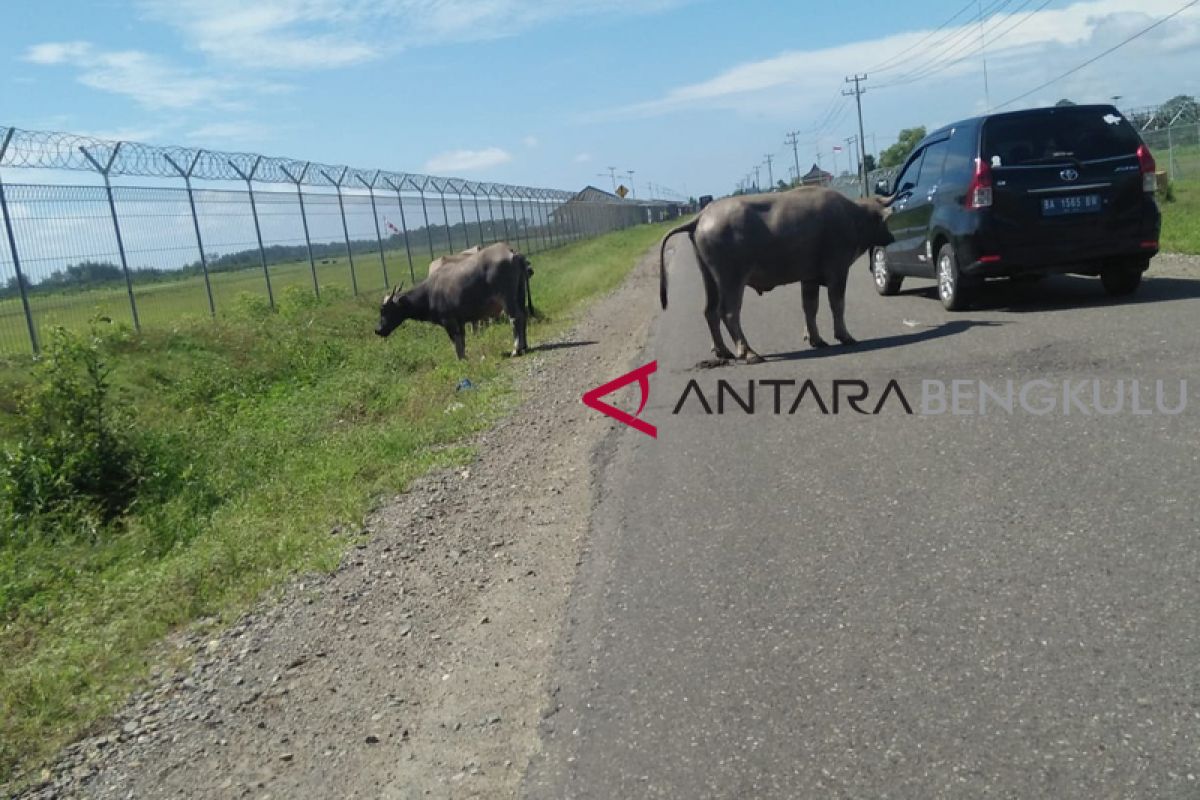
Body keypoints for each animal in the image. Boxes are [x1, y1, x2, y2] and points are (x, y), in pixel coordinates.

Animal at [374, 241, 535, 359]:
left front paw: (460, 360)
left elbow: (456, 343)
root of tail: (512, 252)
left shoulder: (449, 321)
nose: (378, 330)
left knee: (515, 318)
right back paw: (525, 346)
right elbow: (462, 341)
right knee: (523, 315)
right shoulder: (460, 321)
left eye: (384, 310)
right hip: (520, 293)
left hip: (507, 298)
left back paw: (516, 349)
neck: (429, 293)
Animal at [662, 185, 897, 364]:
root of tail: (703, 216)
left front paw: (816, 339)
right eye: (884, 221)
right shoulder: (837, 271)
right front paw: (844, 336)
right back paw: (748, 352)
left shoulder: (809, 277)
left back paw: (723, 351)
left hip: (709, 279)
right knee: (728, 313)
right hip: (731, 279)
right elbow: (837, 305)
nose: (891, 238)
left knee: (709, 311)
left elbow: (810, 307)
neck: (853, 217)